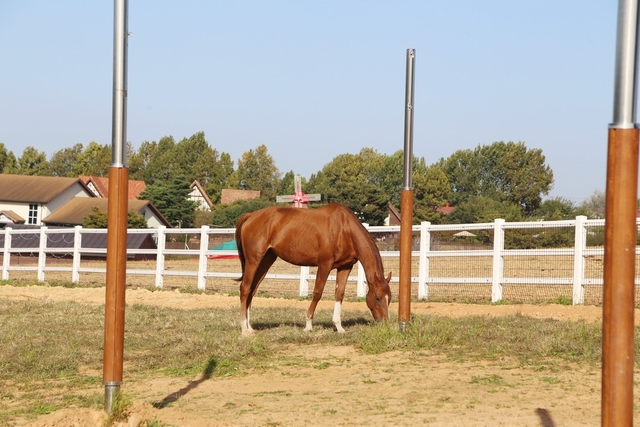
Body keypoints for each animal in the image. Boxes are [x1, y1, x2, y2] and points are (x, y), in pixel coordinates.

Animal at [234, 202, 390, 336]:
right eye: (378, 297)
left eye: (390, 298)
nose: (385, 323)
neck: (343, 229)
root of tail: (250, 215)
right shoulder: (325, 265)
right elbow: (317, 293)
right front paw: (308, 325)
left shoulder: (345, 266)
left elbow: (339, 294)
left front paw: (339, 327)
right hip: (253, 261)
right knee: (245, 288)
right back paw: (244, 329)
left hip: (266, 260)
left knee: (253, 289)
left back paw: (249, 327)